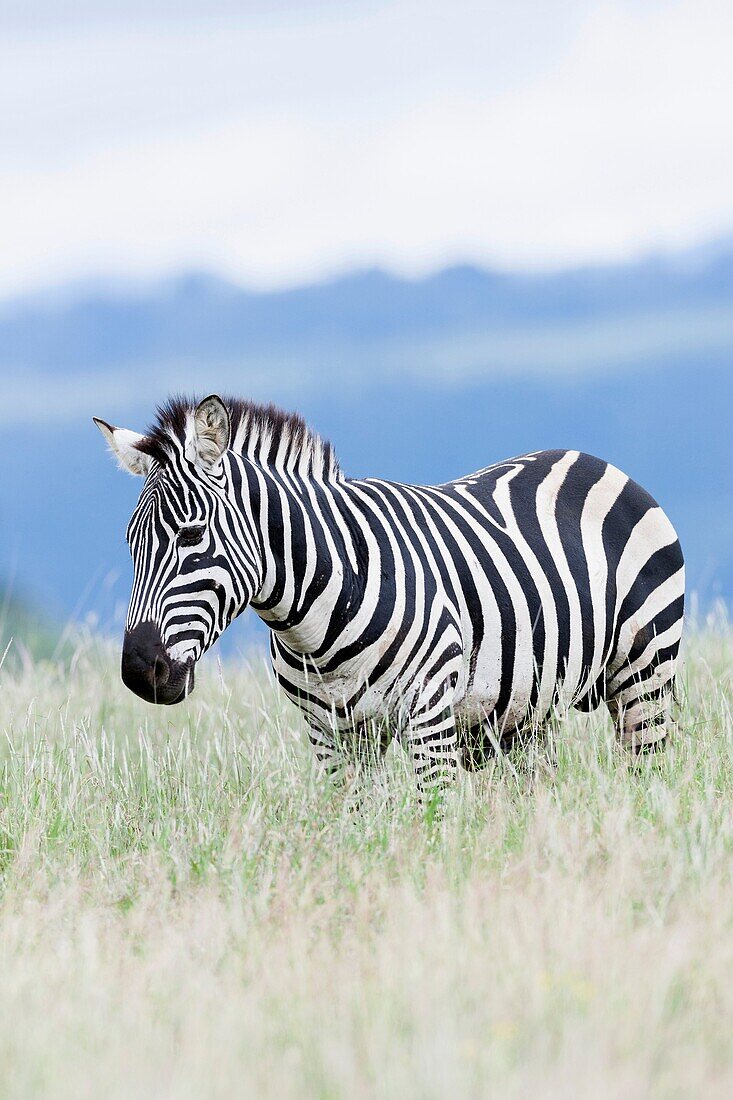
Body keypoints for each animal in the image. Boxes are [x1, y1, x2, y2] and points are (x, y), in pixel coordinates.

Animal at [93, 393, 686, 800]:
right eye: (128, 541)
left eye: (191, 536)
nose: (139, 670)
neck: (316, 619)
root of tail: (592, 459)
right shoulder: (334, 736)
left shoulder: (429, 718)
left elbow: (433, 822)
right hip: (527, 708)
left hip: (645, 673)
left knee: (648, 774)